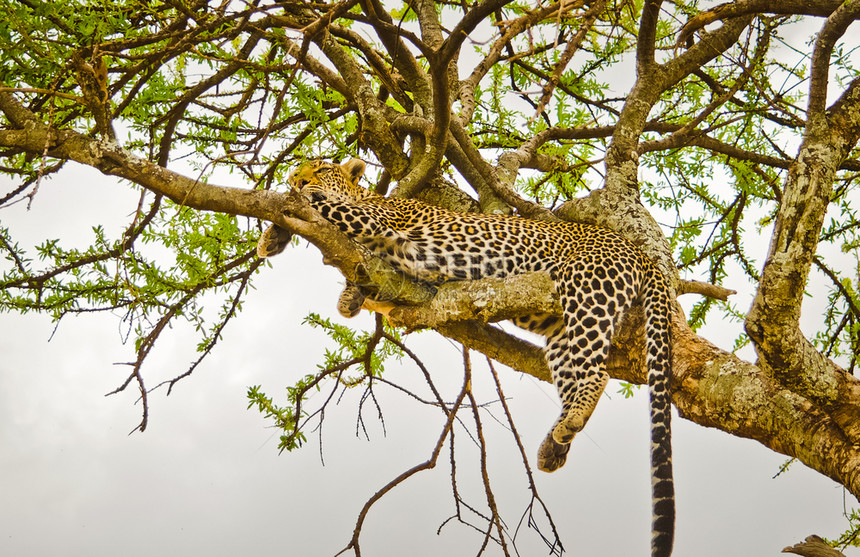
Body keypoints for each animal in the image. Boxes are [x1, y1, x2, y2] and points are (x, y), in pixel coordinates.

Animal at [258, 157, 676, 556]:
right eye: (298, 169)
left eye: (320, 169)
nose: (296, 178)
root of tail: (636, 249)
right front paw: (292, 251)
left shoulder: (376, 221)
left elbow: (320, 205)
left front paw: (282, 214)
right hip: (558, 326)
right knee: (577, 370)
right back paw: (554, 445)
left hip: (588, 289)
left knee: (597, 371)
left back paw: (570, 422)